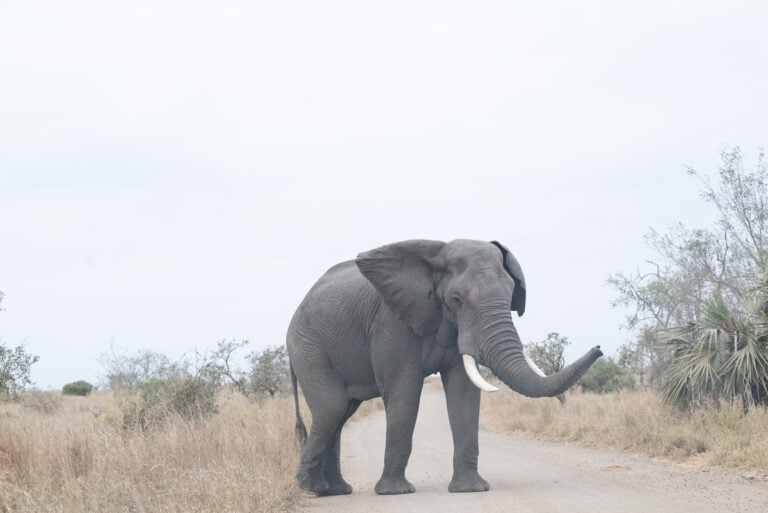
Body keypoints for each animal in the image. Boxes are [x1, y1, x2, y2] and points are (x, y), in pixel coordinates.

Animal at [284, 240, 604, 496]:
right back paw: (312, 489)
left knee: (341, 414)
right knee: (332, 408)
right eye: (456, 300)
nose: (599, 348)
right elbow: (404, 394)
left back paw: (334, 491)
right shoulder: (392, 323)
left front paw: (471, 489)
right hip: (307, 346)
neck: (435, 258)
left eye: (511, 295)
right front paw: (396, 492)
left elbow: (464, 395)